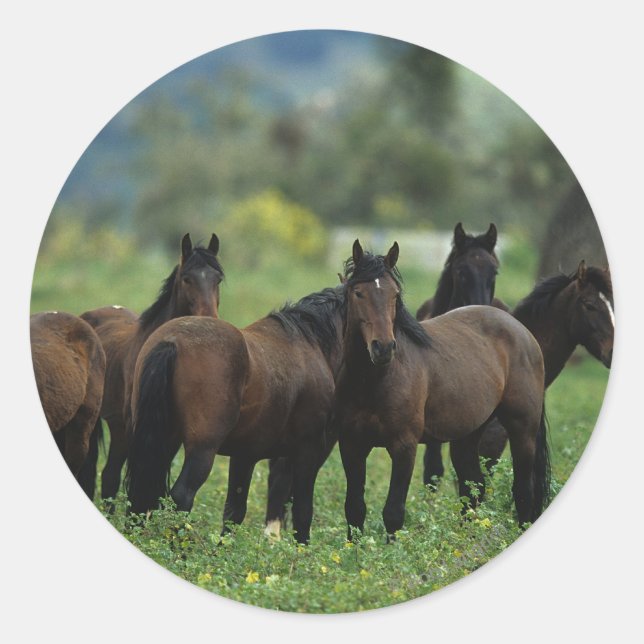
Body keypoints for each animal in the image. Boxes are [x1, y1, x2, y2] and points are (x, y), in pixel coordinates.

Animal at [125, 286, 345, 544]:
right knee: (181, 495)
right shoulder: (308, 449)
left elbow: (234, 511)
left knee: (140, 492)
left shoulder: (245, 454)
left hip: (162, 440)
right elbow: (302, 509)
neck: (310, 342)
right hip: (202, 449)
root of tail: (171, 342)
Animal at [335, 240, 550, 541]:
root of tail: (523, 332)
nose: (383, 348)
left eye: (394, 294)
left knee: (523, 491)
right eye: (358, 293)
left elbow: (393, 513)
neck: (373, 381)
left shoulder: (404, 447)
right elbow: (354, 510)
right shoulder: (351, 445)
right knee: (473, 488)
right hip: (467, 437)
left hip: (522, 430)